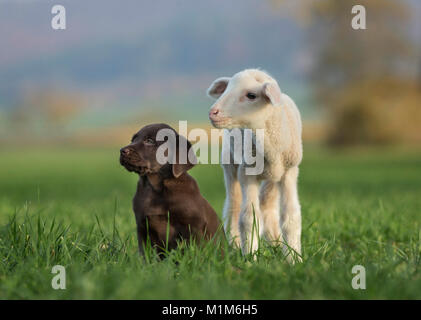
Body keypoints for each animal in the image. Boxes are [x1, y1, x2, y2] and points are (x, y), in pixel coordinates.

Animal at [204, 69, 300, 262]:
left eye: (251, 95)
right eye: (226, 89)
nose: (213, 113)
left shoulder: (289, 173)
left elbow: (291, 218)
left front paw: (294, 259)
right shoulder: (246, 172)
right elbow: (249, 218)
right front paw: (250, 258)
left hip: (273, 177)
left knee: (268, 205)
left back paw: (276, 242)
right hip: (230, 164)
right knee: (233, 207)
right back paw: (235, 244)